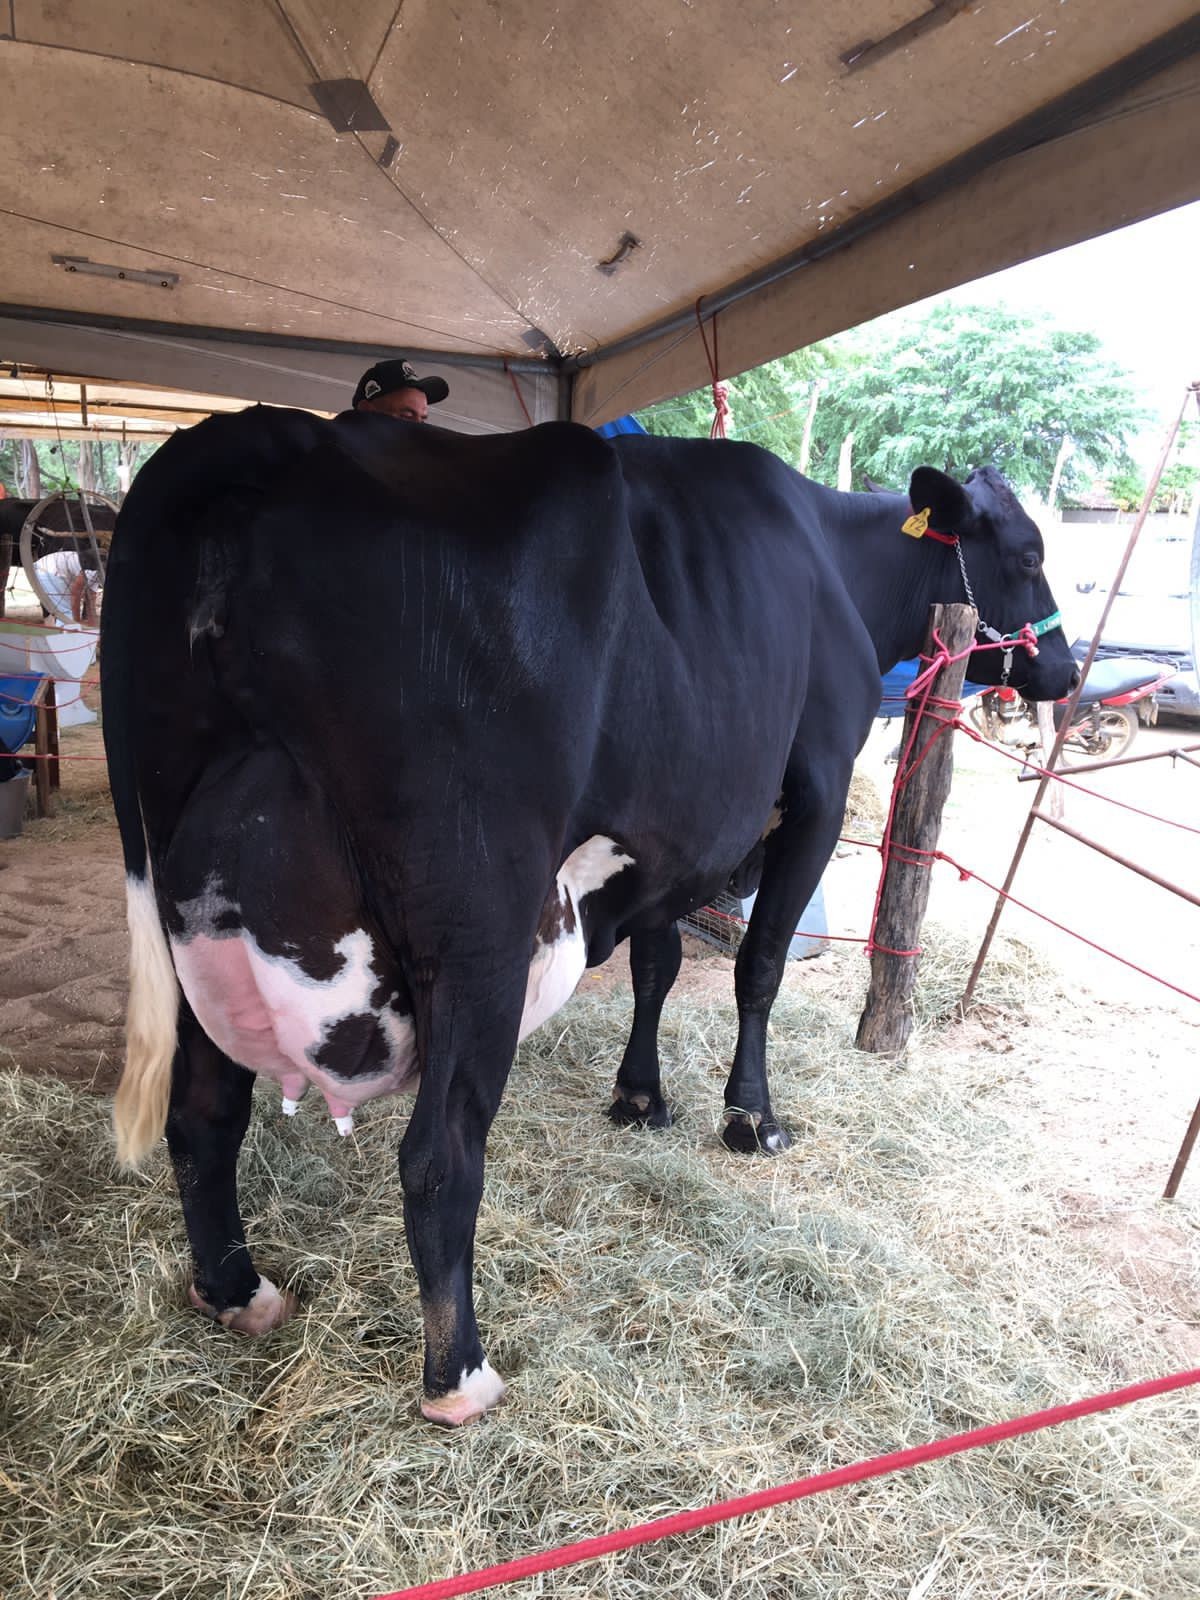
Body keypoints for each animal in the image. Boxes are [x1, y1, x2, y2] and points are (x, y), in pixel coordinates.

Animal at [103, 409, 1081, 1427]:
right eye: (1028, 552)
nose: (1064, 670)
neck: (837, 562)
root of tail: (261, 435)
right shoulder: (815, 790)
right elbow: (760, 965)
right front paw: (752, 1117)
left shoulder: (664, 839)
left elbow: (656, 967)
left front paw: (640, 1098)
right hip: (479, 921)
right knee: (439, 1152)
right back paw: (460, 1377)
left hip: (194, 908)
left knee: (204, 1115)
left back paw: (235, 1290)